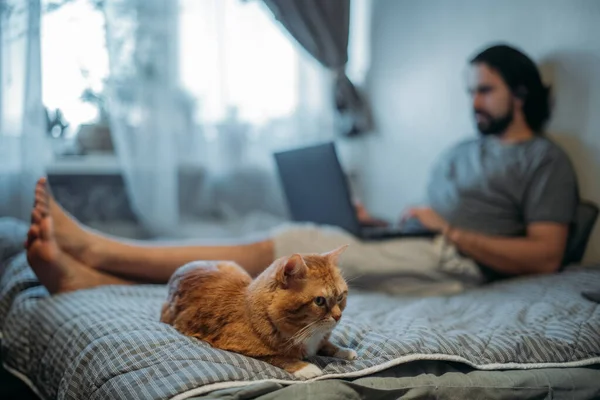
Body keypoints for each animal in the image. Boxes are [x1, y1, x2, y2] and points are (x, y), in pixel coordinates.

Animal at [159, 245, 356, 380]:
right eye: (319, 301)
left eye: (340, 297)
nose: (338, 316)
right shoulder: (245, 348)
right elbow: (281, 357)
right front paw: (305, 367)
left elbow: (328, 344)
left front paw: (344, 351)